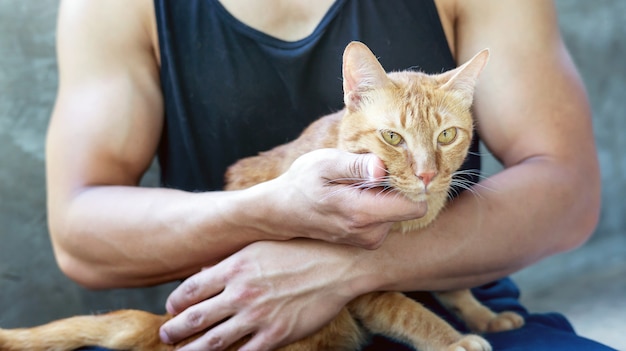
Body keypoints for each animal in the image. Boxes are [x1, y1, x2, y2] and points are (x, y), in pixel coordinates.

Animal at [0, 42, 520, 351]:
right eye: (393, 138)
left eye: (447, 136)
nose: (428, 173)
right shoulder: (363, 288)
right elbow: (408, 311)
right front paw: (453, 340)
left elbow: (453, 284)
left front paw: (483, 316)